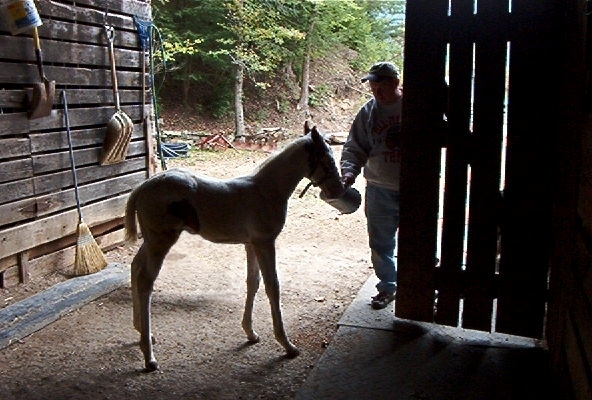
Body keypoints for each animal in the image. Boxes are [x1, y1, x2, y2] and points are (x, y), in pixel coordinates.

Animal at [127, 122, 344, 372]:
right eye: (327, 159)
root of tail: (143, 186)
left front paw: (250, 333)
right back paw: (149, 357)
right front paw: (287, 345)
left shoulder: (251, 245)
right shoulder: (265, 243)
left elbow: (253, 283)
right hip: (160, 242)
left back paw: (142, 333)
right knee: (145, 282)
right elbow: (273, 287)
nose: (338, 190)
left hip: (150, 241)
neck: (266, 191)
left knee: (134, 268)